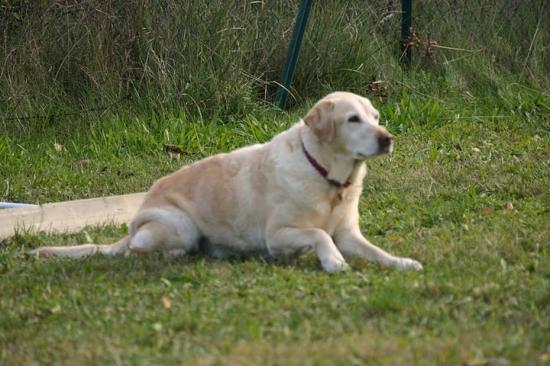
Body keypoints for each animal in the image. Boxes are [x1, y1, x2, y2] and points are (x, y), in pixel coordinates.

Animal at [30, 93, 424, 274]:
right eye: (353, 119)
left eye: (375, 116)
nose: (387, 139)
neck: (326, 174)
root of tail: (135, 220)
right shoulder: (278, 235)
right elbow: (318, 234)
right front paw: (334, 262)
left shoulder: (350, 233)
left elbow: (375, 251)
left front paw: (402, 262)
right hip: (180, 225)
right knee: (138, 250)